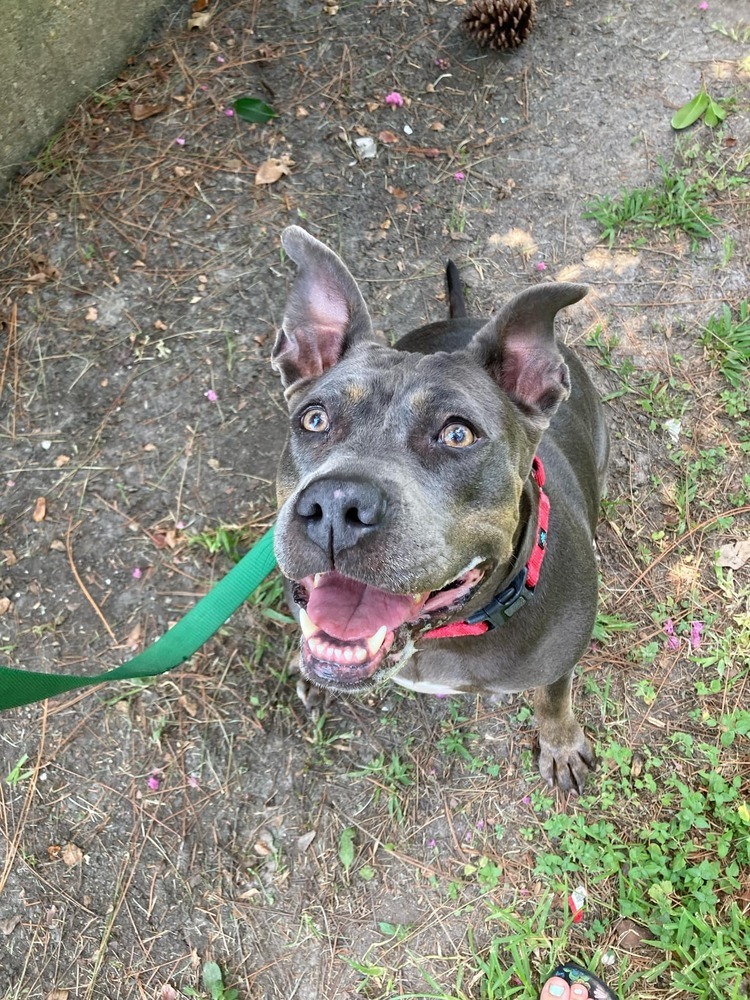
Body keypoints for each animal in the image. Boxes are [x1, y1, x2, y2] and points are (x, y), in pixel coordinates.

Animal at [270, 229, 612, 796]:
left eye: (457, 434)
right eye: (313, 419)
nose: (337, 503)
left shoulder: (561, 662)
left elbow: (554, 698)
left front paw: (560, 745)